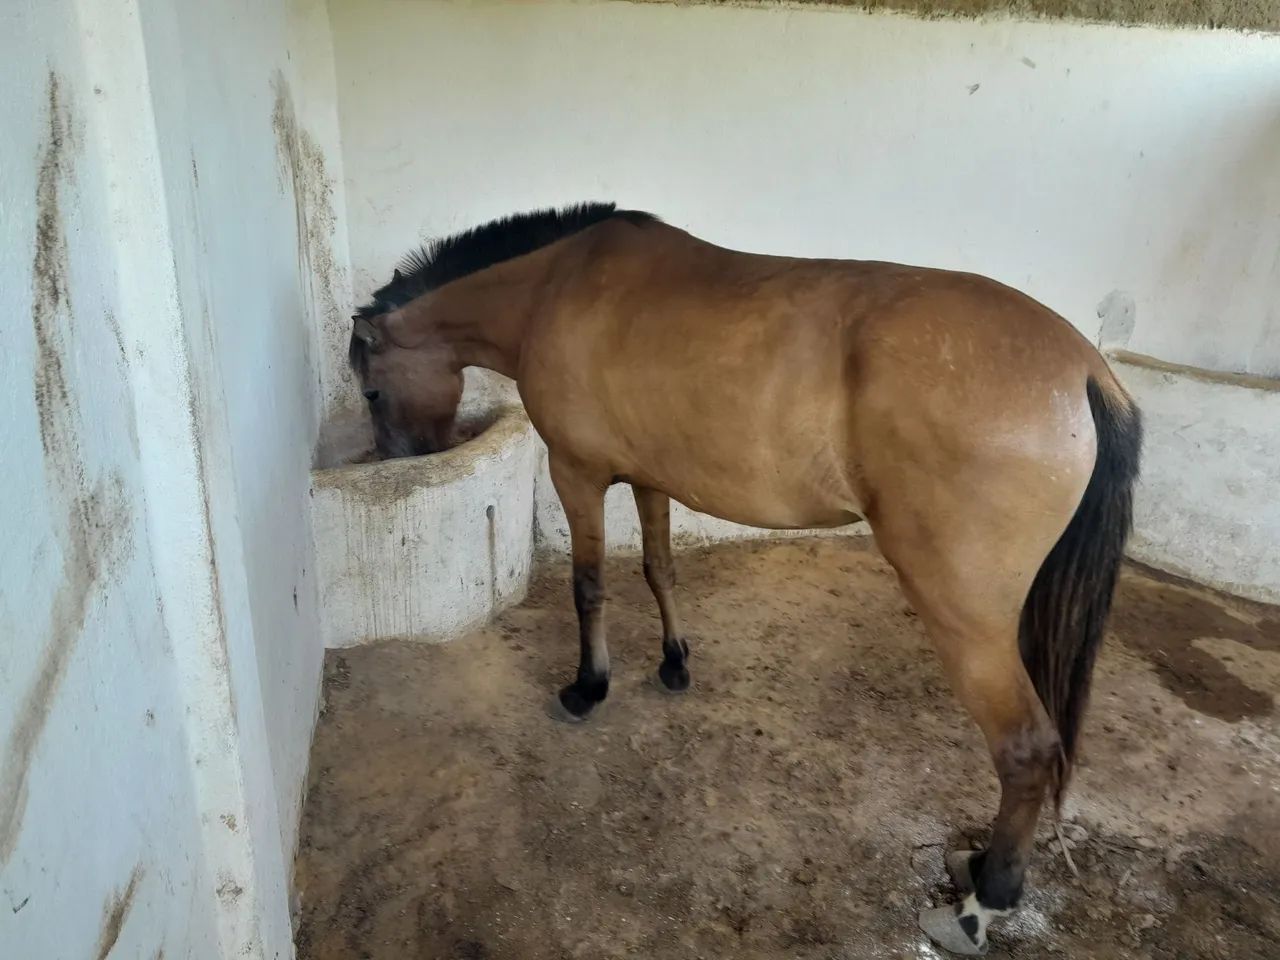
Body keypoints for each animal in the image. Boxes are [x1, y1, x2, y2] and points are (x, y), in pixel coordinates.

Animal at [347, 202, 1142, 955]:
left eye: (372, 393)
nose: (402, 460)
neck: (556, 285)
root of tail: (1084, 370)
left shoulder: (576, 474)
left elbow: (589, 585)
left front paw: (588, 687)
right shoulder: (650, 478)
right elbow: (659, 569)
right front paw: (673, 663)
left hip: (965, 619)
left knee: (1026, 750)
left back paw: (984, 904)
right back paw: (976, 868)